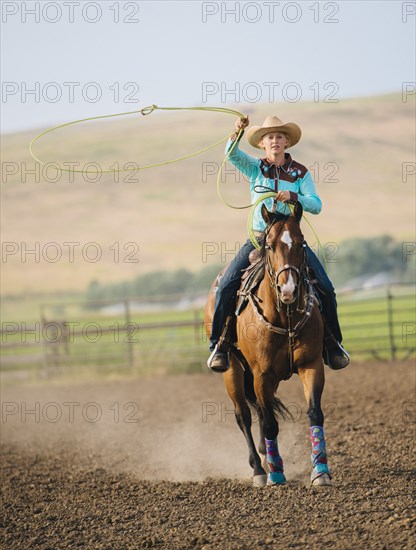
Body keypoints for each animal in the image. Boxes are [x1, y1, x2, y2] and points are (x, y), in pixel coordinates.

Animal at [205, 205, 332, 490]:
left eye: (301, 243)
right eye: (270, 246)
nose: (289, 289)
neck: (285, 316)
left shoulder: (311, 365)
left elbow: (314, 413)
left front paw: (320, 471)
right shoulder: (261, 374)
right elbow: (270, 423)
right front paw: (276, 475)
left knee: (263, 414)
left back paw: (266, 457)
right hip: (234, 371)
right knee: (244, 416)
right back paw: (259, 469)